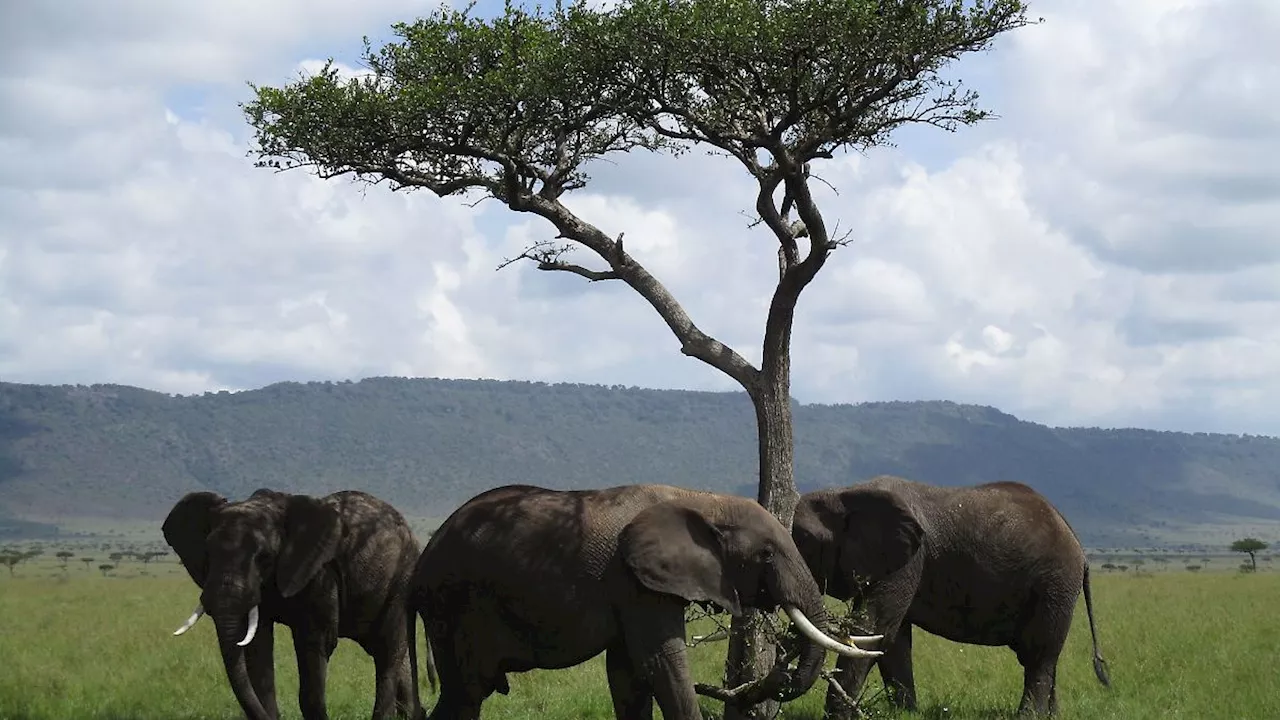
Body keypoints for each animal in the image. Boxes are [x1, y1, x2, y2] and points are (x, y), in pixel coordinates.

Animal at [162, 486, 435, 717]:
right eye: (208, 553)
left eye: (264, 557)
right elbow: (257, 645)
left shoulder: (320, 572)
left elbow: (316, 642)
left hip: (401, 580)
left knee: (388, 651)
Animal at [412, 481, 890, 717]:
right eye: (766, 554)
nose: (782, 674)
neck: (700, 500)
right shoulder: (635, 581)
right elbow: (661, 662)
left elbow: (629, 674)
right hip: (454, 606)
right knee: (466, 693)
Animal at [788, 474, 1111, 712]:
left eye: (804, 540)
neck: (845, 492)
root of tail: (1078, 545)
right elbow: (891, 640)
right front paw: (906, 713)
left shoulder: (908, 562)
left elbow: (874, 628)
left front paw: (837, 715)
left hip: (1055, 583)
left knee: (1038, 654)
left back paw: (1027, 716)